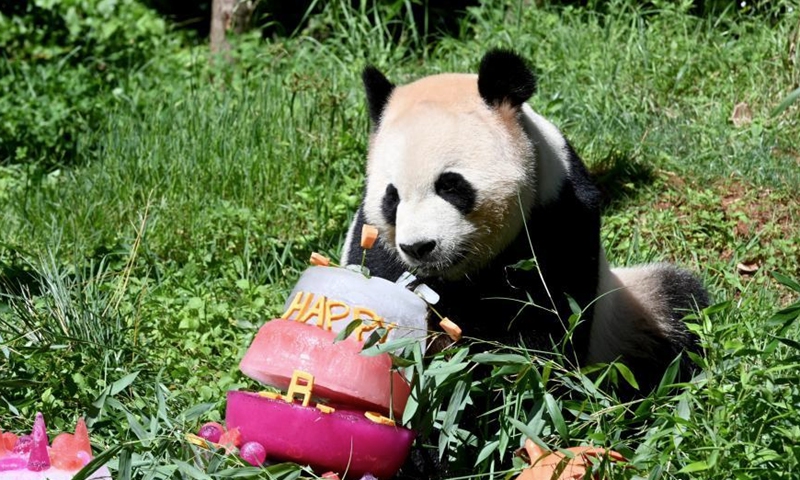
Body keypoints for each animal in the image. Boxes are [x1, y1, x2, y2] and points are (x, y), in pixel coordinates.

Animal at [340, 48, 708, 394]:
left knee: (681, 312)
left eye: (451, 186)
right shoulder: (376, 244)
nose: (419, 247)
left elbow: (546, 326)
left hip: (630, 317)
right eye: (392, 198)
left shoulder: (559, 217)